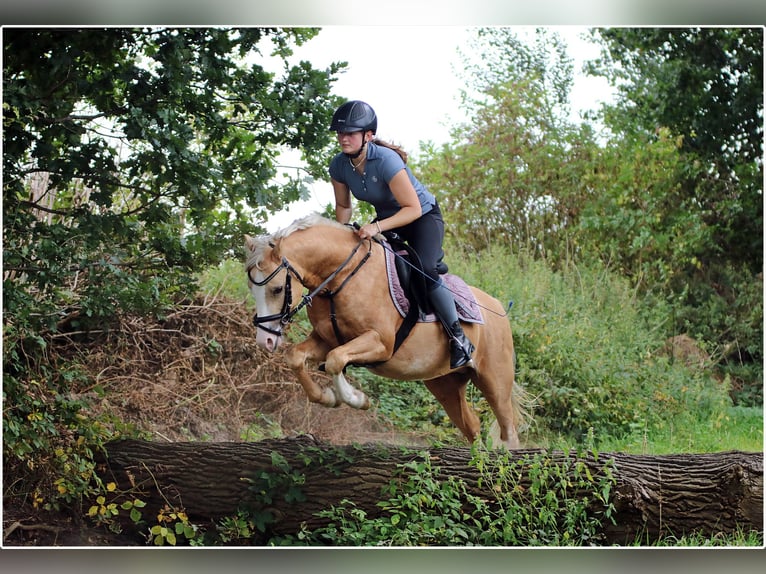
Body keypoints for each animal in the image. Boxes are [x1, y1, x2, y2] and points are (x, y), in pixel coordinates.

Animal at [244, 213, 527, 449]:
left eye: (277, 289)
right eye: (251, 289)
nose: (265, 340)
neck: (342, 277)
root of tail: (498, 307)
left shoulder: (380, 343)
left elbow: (335, 361)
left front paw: (357, 399)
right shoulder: (326, 340)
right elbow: (296, 357)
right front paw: (327, 397)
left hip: (494, 379)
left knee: (508, 430)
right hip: (445, 383)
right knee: (472, 427)